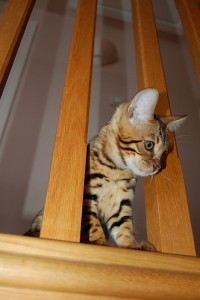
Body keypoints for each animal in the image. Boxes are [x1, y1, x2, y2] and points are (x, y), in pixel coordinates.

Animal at [25, 88, 186, 251]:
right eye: (149, 145)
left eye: (164, 154)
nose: (157, 168)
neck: (117, 170)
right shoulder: (87, 195)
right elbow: (92, 222)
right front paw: (99, 243)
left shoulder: (121, 202)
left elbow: (124, 226)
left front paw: (131, 245)